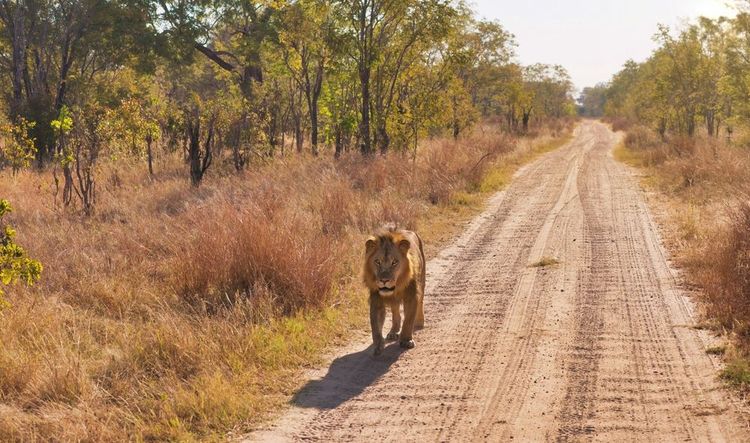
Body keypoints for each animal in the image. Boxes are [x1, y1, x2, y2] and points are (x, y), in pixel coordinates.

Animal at [363, 225, 426, 356]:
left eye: (394, 262)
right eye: (377, 261)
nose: (384, 280)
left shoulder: (411, 296)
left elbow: (408, 320)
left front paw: (406, 340)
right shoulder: (376, 300)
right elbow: (375, 326)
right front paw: (378, 345)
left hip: (422, 280)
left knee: (421, 302)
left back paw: (419, 322)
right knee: (395, 311)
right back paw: (393, 332)